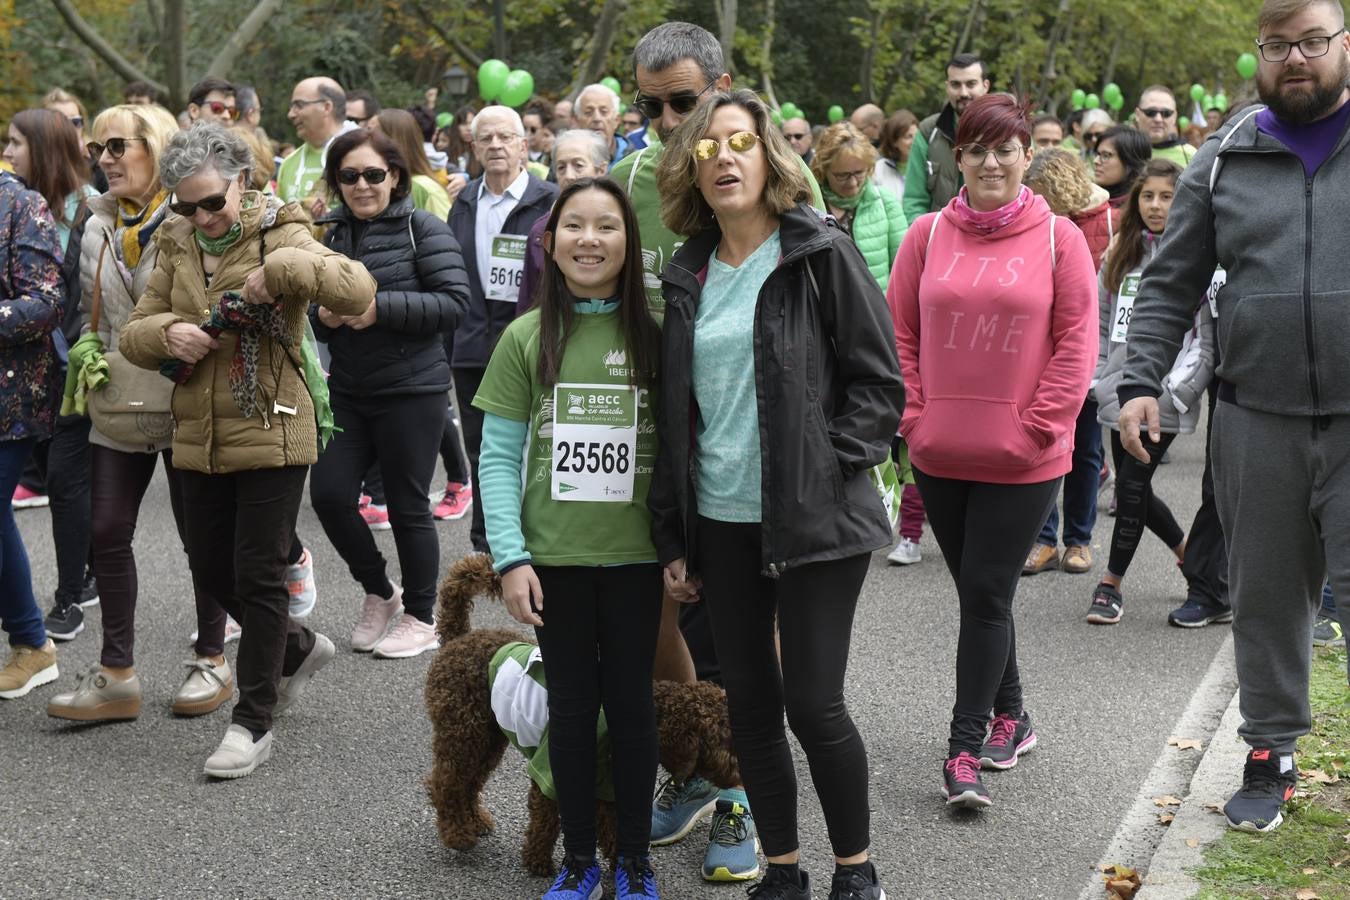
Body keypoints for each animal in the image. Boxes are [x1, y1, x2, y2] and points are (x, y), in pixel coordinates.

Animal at [423, 553, 745, 874]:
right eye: (724, 739)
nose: (742, 772)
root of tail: (458, 638)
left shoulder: (610, 788)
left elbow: (612, 829)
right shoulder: (549, 771)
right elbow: (546, 821)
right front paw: (539, 862)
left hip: (487, 738)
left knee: (470, 781)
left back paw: (475, 821)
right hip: (462, 732)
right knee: (445, 782)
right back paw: (458, 834)